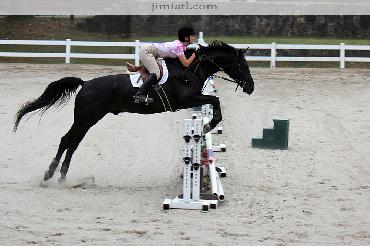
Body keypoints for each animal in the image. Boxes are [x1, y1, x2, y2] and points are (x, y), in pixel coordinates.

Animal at [12, 40, 254, 183]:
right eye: (242, 66)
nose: (251, 87)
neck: (191, 69)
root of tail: (85, 84)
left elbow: (215, 100)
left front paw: (207, 125)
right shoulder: (186, 100)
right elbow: (215, 100)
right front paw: (209, 124)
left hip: (88, 120)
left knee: (73, 142)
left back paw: (61, 175)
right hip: (85, 118)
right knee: (67, 140)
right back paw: (50, 173)